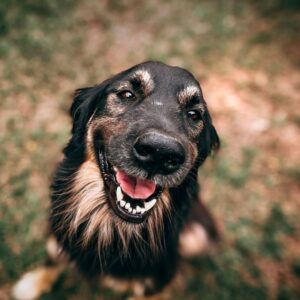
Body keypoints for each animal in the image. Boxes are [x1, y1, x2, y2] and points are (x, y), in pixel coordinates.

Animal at [12, 61, 219, 300]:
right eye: (127, 94)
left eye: (194, 114)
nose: (159, 153)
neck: (113, 227)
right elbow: (53, 256)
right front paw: (35, 282)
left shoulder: (158, 278)